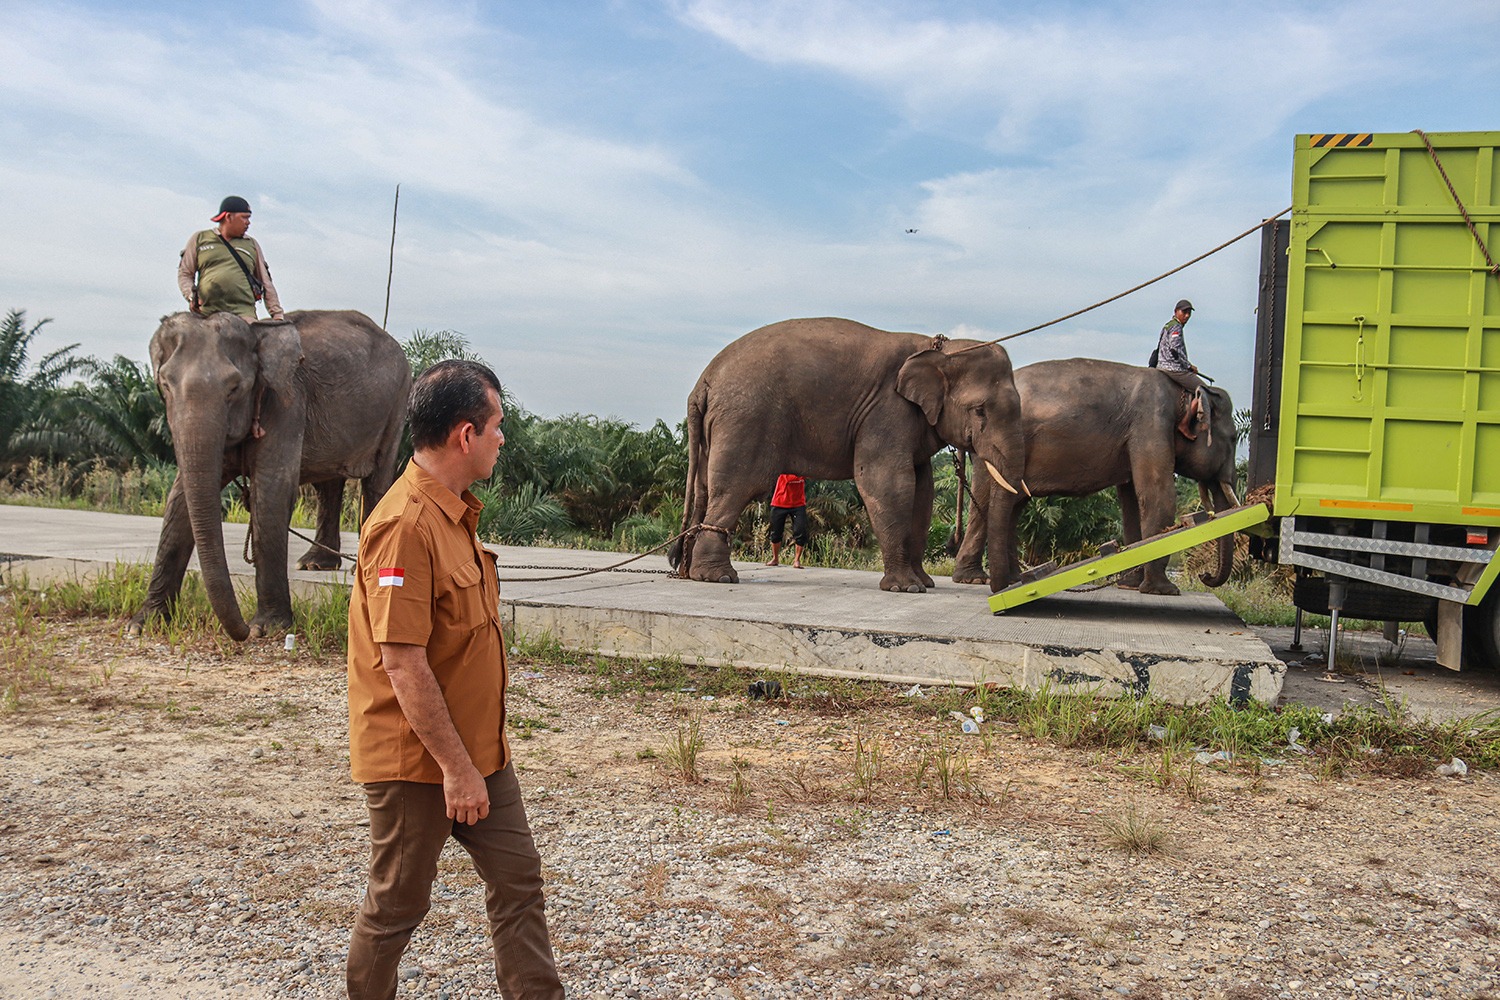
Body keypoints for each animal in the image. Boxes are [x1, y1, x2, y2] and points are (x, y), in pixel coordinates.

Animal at [127, 307, 411, 641]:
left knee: (377, 480)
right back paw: (314, 565)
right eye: (165, 386)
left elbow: (271, 493)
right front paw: (143, 624)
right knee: (329, 484)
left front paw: (267, 628)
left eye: (234, 388)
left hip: (397, 404)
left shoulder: (285, 403)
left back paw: (358, 569)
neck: (257, 336)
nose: (242, 632)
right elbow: (179, 499)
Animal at [672, 316, 1032, 590]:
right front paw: (905, 587)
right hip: (745, 420)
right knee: (734, 488)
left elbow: (923, 490)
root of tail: (703, 382)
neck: (939, 347)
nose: (1002, 587)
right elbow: (887, 481)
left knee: (705, 487)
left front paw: (924, 583)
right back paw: (718, 577)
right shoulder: (887, 410)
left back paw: (690, 573)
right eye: (980, 410)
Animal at [948, 358, 1242, 593]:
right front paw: (1164, 591)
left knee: (1011, 505)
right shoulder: (1152, 424)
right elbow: (1156, 494)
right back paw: (976, 580)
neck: (1183, 393)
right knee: (991, 501)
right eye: (1234, 437)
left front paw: (1130, 585)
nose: (1205, 576)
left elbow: (1132, 501)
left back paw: (1009, 580)